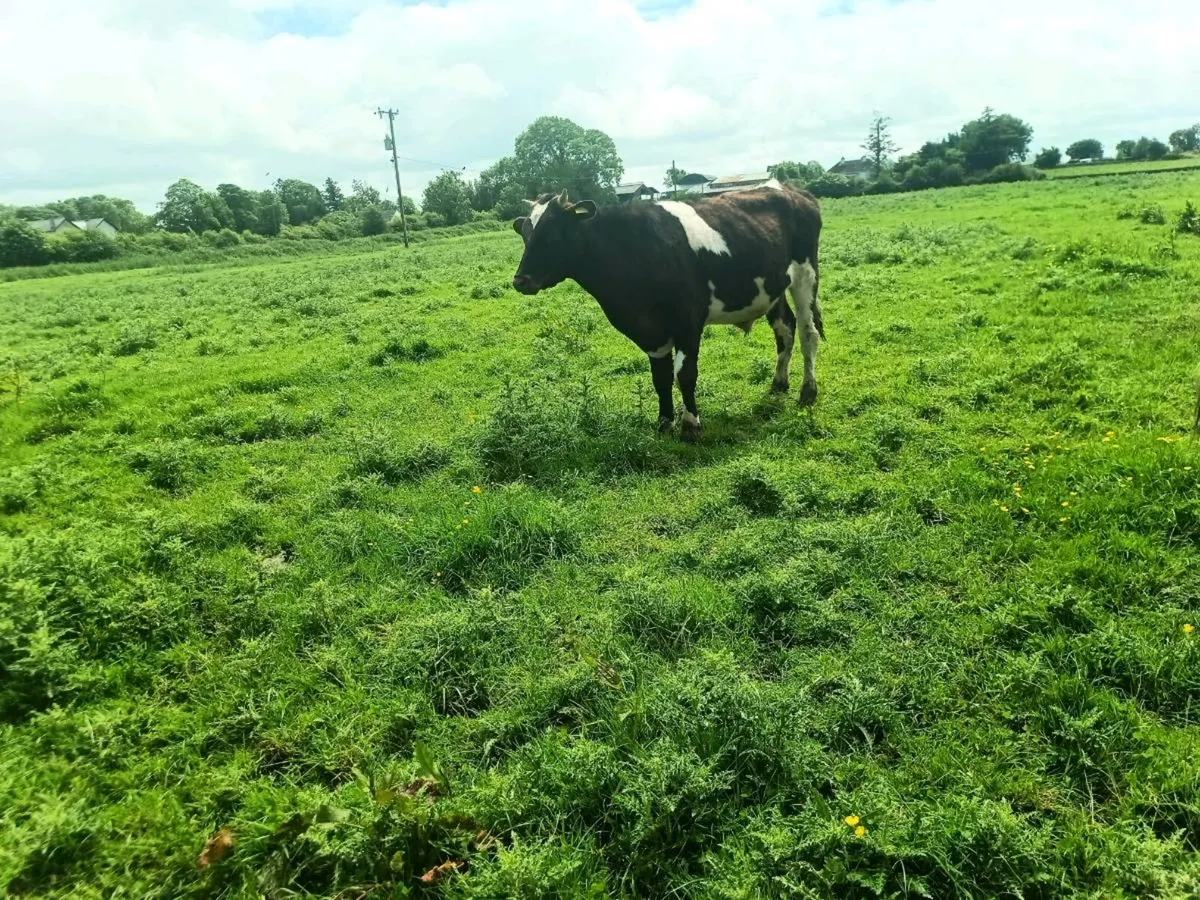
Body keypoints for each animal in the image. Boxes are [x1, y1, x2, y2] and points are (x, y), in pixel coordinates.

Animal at [510, 180, 824, 442]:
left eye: (553, 232)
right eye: (525, 233)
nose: (520, 281)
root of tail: (791, 189)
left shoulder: (689, 321)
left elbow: (685, 374)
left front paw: (690, 425)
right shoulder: (651, 331)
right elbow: (660, 378)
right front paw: (663, 423)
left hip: (805, 275)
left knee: (808, 332)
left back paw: (808, 391)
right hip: (774, 286)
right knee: (785, 329)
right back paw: (779, 383)